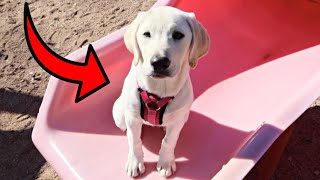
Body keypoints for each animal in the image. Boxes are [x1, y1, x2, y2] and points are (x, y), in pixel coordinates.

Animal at [112, 6, 210, 178]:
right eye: (146, 34)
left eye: (178, 35)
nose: (159, 62)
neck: (158, 91)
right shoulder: (132, 116)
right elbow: (134, 141)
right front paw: (135, 162)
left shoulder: (177, 121)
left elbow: (168, 141)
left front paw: (166, 162)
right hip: (119, 114)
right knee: (128, 130)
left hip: (184, 116)